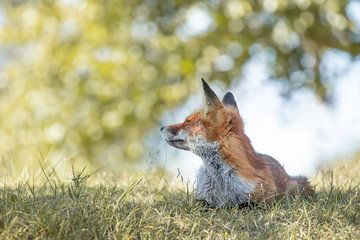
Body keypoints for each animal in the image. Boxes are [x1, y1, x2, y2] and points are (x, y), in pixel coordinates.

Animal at [159, 78, 314, 206]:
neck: (222, 184)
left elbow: (241, 205)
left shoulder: (261, 201)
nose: (161, 128)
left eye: (187, 121)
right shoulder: (202, 199)